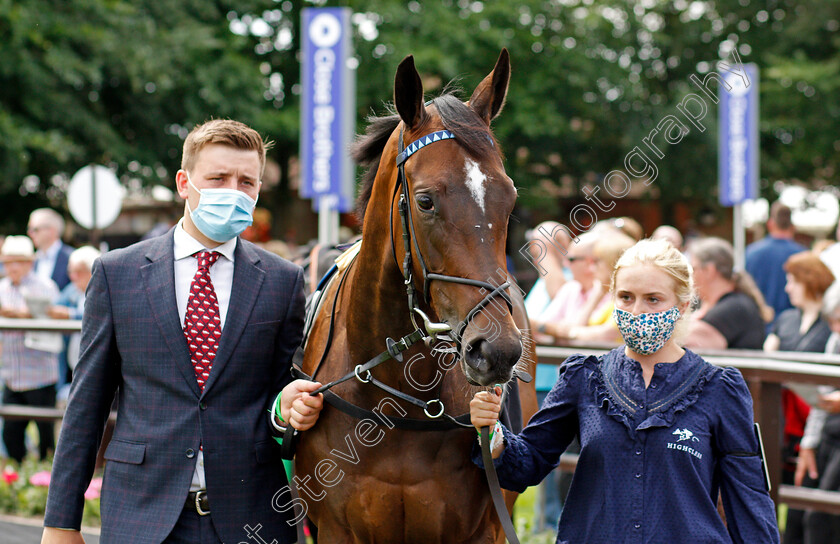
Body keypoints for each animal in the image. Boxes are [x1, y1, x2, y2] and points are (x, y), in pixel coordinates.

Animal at [296, 49, 540, 540]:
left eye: (508, 200)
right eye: (425, 201)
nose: (497, 349)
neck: (398, 399)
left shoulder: (480, 532)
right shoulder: (334, 530)